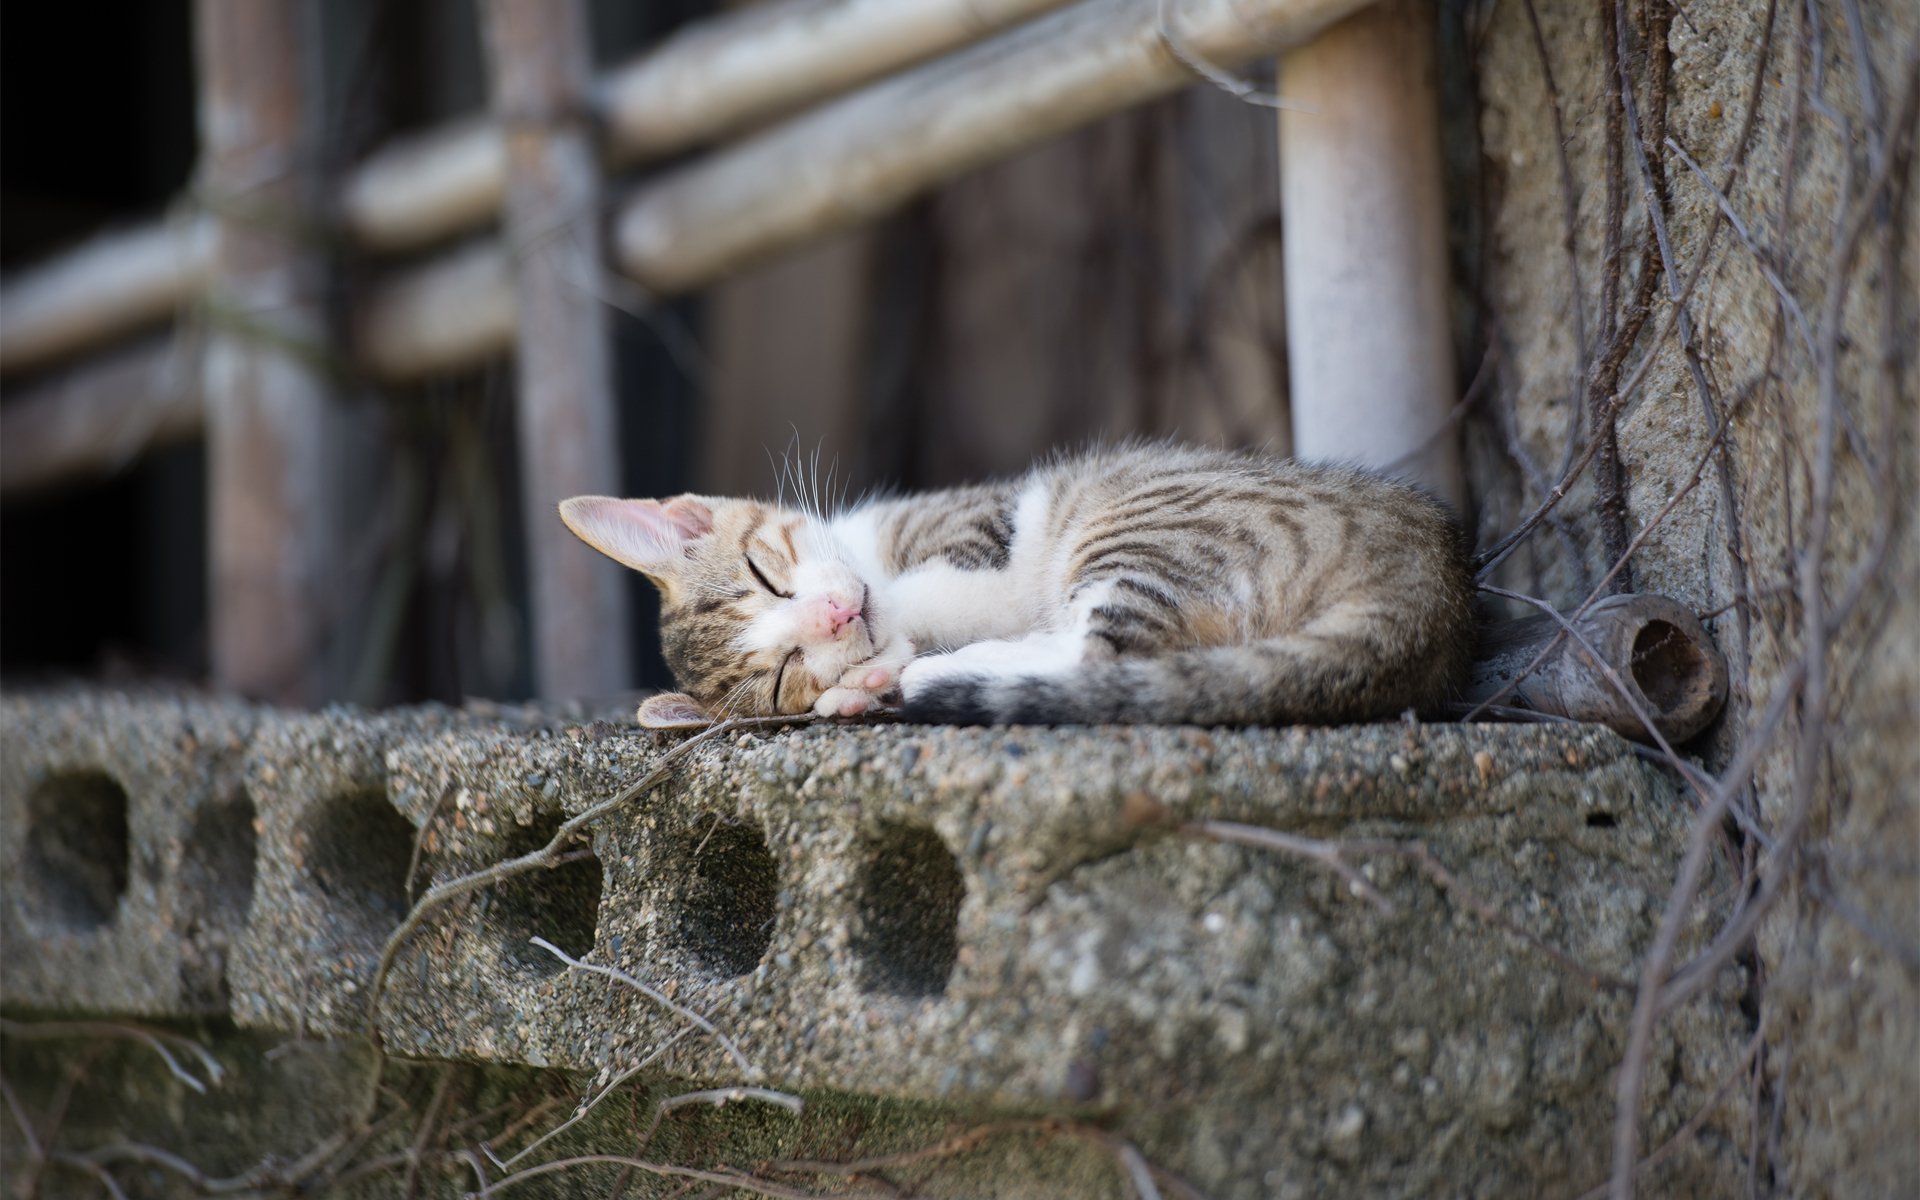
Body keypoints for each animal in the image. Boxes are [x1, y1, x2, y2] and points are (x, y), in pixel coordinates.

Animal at [560, 439, 1474, 721]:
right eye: (783, 671)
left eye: (765, 575)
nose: (832, 617)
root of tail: (1435, 570)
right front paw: (848, 682)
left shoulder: (978, 527)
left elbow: (927, 591)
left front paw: (881, 648)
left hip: (1138, 531)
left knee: (1097, 654)